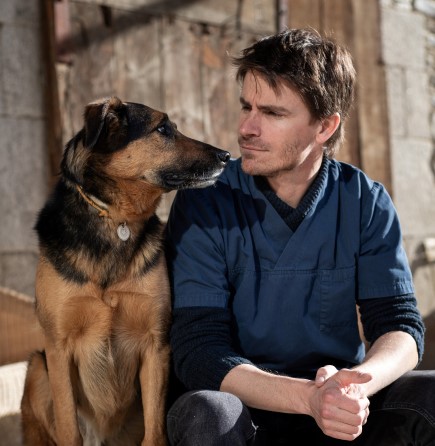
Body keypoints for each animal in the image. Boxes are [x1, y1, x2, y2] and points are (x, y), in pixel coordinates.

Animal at [20, 96, 230, 446]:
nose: (227, 156)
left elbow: (154, 432)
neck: (117, 218)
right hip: (38, 368)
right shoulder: (57, 347)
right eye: (163, 129)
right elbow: (68, 428)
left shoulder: (156, 344)